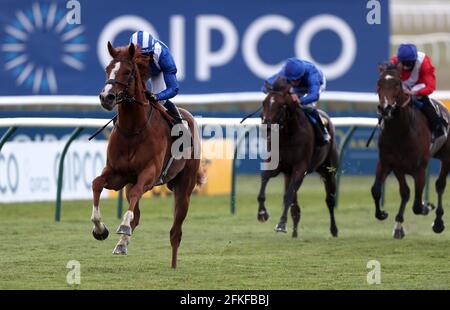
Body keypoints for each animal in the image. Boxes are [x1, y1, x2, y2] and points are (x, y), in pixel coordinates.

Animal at [93, 41, 206, 268]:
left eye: (128, 72)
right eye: (107, 69)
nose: (106, 97)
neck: (133, 129)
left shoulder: (149, 173)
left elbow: (137, 193)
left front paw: (122, 226)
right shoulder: (117, 174)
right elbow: (96, 183)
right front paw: (100, 229)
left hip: (185, 188)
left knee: (175, 232)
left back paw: (173, 265)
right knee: (135, 213)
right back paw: (121, 244)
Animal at [256, 77, 338, 237]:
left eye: (281, 106)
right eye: (264, 103)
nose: (266, 127)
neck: (288, 135)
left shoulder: (300, 167)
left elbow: (288, 197)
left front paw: (281, 224)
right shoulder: (275, 164)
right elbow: (264, 182)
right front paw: (262, 213)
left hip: (328, 170)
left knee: (330, 200)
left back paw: (334, 230)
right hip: (289, 174)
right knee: (295, 207)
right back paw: (294, 233)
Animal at [370, 62, 448, 237]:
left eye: (397, 84)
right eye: (378, 83)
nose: (385, 108)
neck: (401, 132)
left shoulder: (420, 169)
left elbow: (418, 205)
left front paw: (427, 206)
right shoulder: (389, 163)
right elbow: (378, 190)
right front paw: (384, 215)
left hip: (447, 157)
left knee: (440, 185)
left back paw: (438, 222)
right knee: (406, 193)